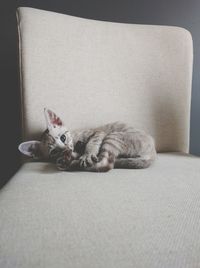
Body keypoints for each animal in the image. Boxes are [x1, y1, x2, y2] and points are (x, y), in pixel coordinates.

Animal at [18, 108, 156, 172]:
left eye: (63, 137)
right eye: (54, 152)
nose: (66, 149)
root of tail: (153, 154)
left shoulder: (98, 133)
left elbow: (91, 144)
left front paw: (87, 154)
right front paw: (68, 156)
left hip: (112, 137)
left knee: (105, 164)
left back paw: (71, 164)